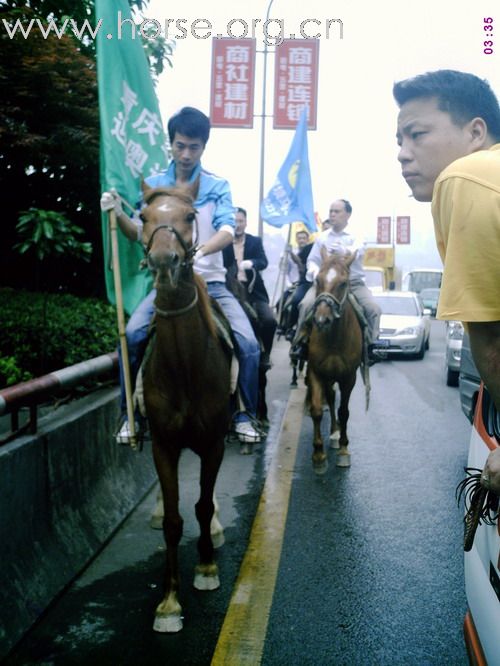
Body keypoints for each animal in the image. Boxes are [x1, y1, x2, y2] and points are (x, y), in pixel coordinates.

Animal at [304, 249, 364, 472]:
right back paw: (333, 432)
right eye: (318, 280)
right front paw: (318, 455)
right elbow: (317, 410)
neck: (334, 339)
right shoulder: (315, 372)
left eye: (343, 283)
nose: (322, 320)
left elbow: (344, 411)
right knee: (329, 397)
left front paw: (344, 451)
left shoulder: (349, 377)